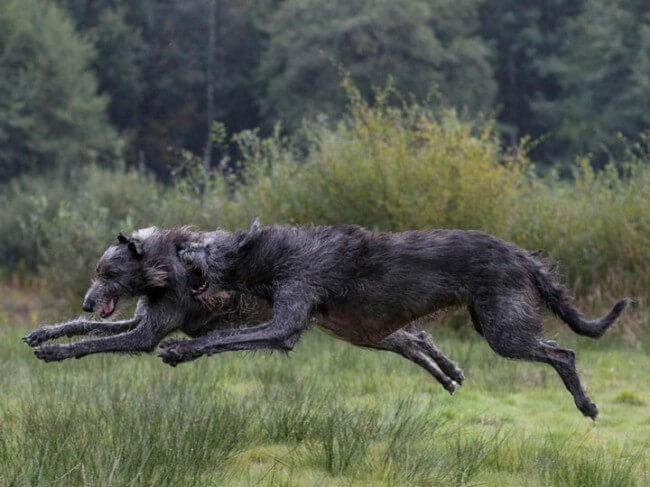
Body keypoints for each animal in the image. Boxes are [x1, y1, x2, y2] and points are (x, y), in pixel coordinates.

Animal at [22, 227, 464, 394]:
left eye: (109, 273)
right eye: (98, 272)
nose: (88, 301)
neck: (163, 266)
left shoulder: (147, 332)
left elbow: (93, 343)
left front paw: (55, 352)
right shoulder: (143, 318)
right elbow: (85, 327)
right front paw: (45, 333)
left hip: (355, 325)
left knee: (413, 338)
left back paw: (447, 370)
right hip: (360, 329)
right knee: (413, 338)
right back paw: (447, 372)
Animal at [167, 219, 628, 418]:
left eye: (207, 245)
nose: (177, 248)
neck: (273, 253)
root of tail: (521, 255)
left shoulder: (291, 308)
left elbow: (226, 339)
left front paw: (179, 350)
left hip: (504, 330)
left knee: (564, 354)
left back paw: (586, 404)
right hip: (490, 318)